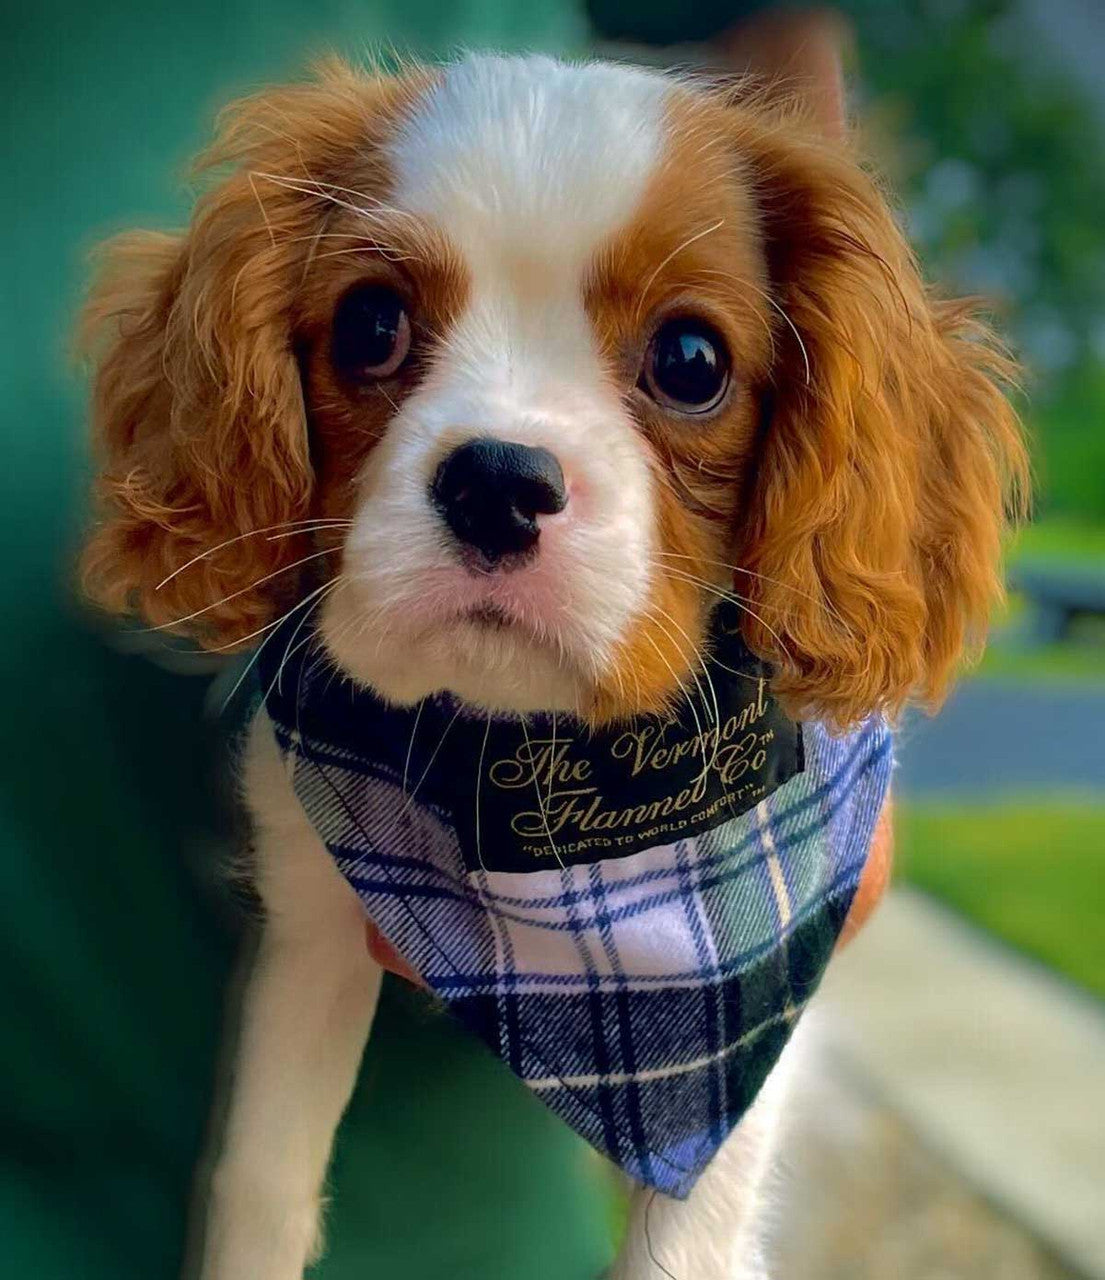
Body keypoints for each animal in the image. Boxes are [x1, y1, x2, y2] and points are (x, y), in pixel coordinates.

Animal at [77, 52, 1029, 1280]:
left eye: (690, 361)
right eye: (370, 325)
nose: (496, 481)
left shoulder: (753, 1036)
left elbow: (687, 1243)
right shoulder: (309, 924)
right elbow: (263, 1175)